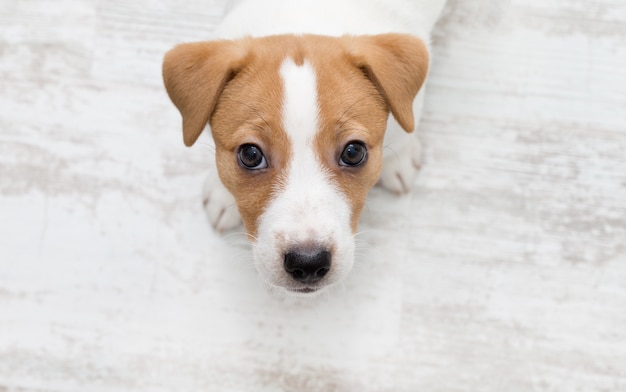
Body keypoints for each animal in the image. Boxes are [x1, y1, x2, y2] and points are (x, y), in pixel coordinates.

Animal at [161, 0, 444, 294]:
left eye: (353, 152)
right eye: (250, 155)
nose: (308, 263)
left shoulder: (411, 101)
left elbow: (404, 130)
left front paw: (399, 160)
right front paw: (221, 192)